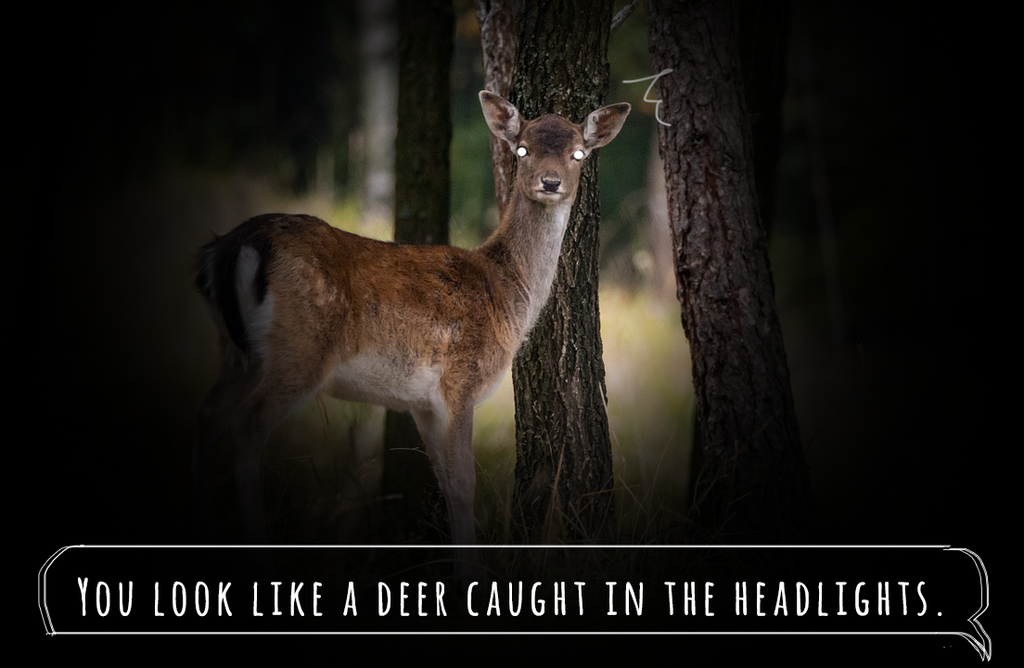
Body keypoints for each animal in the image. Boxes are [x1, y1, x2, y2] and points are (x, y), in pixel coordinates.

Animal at [193, 91, 630, 580]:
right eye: (522, 150)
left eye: (578, 154)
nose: (551, 182)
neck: (507, 295)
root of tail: (231, 247)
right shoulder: (460, 380)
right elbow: (463, 483)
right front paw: (470, 576)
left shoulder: (420, 401)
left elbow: (443, 481)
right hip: (301, 349)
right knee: (246, 426)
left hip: (236, 352)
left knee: (207, 418)